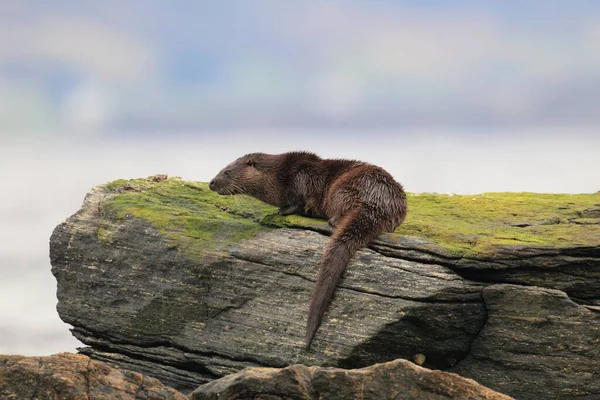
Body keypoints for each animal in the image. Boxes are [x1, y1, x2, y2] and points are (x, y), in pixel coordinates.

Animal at [207, 152, 408, 348]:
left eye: (227, 172)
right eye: (222, 169)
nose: (211, 182)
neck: (278, 177)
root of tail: (377, 201)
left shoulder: (301, 177)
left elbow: (300, 202)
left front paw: (283, 210)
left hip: (342, 188)